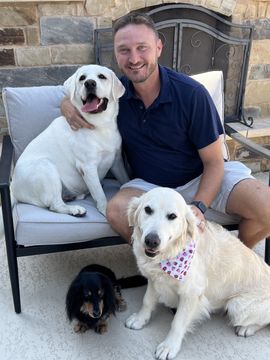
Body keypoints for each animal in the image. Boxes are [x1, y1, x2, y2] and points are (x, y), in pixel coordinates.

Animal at [10, 64, 129, 217]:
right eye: (82, 78)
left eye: (102, 76)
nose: (89, 83)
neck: (100, 125)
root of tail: (13, 188)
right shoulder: (88, 167)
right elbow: (100, 194)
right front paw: (104, 209)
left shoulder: (117, 160)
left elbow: (125, 179)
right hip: (46, 168)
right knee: (55, 205)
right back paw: (75, 209)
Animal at [126, 187, 270, 360]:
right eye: (147, 210)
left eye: (172, 216)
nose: (151, 241)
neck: (170, 254)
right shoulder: (154, 279)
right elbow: (147, 301)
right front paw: (140, 319)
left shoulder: (191, 293)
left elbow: (178, 322)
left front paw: (169, 346)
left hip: (237, 305)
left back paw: (247, 328)